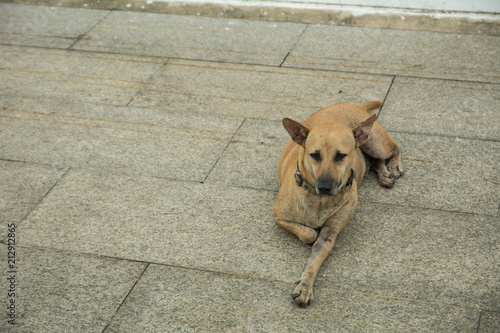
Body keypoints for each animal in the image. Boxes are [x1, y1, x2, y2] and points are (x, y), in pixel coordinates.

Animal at [274, 100, 402, 306]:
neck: (319, 200)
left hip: (375, 143)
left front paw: (305, 285)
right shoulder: (278, 215)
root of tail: (352, 104)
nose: (325, 187)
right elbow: (308, 234)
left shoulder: (329, 235)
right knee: (375, 161)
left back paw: (394, 165)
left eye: (341, 156)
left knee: (395, 148)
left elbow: (315, 257)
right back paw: (384, 173)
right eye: (314, 155)